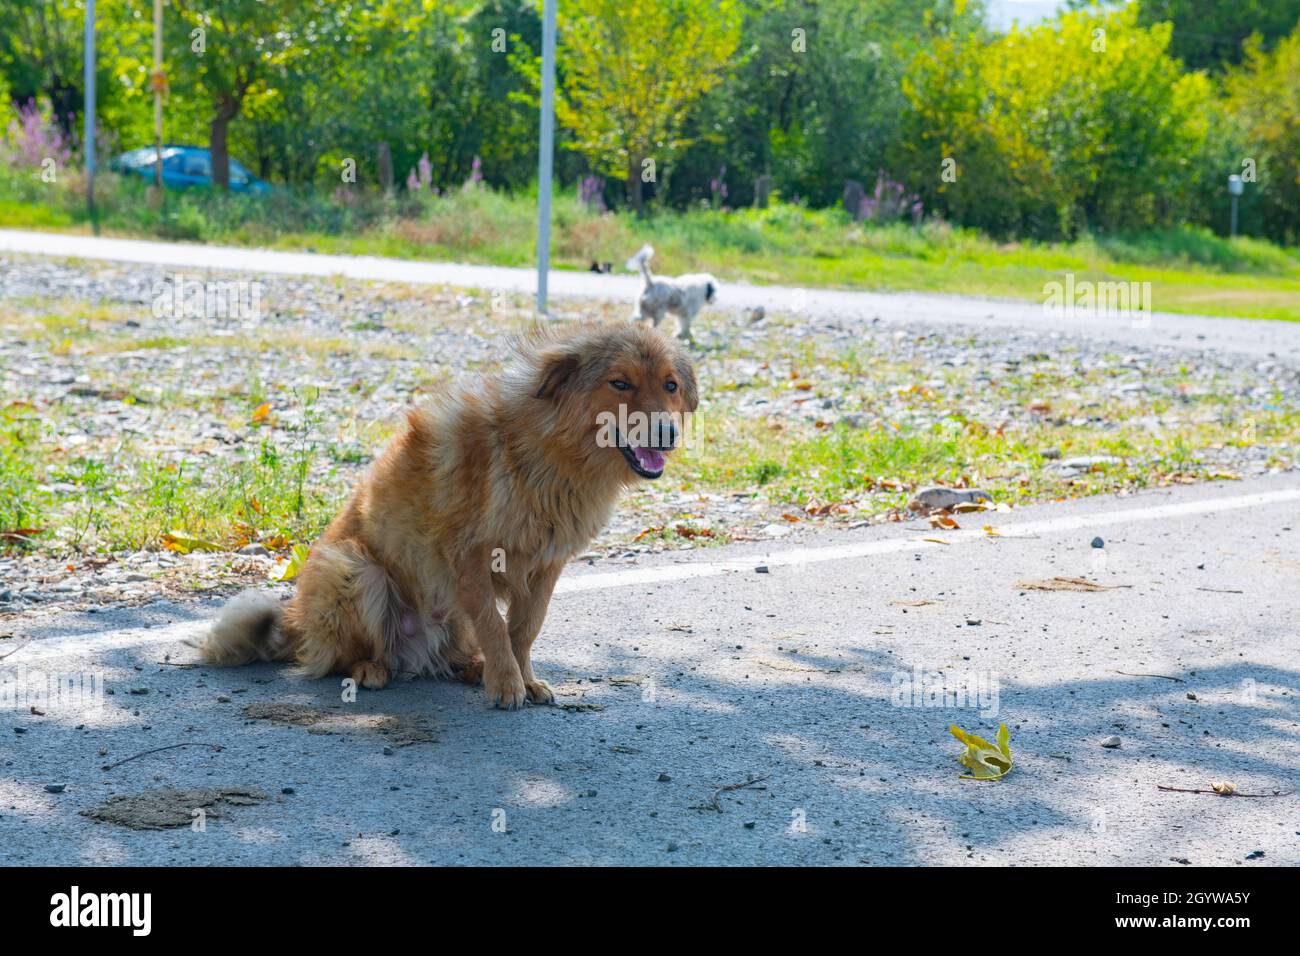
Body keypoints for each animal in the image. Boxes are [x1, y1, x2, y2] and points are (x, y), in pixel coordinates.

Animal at [193, 325, 696, 707]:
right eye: (620, 383)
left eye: (670, 385)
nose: (667, 433)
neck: (549, 453)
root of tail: (298, 624)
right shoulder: (470, 556)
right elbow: (495, 625)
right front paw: (508, 684)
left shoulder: (546, 565)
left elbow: (524, 629)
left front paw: (522, 676)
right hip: (354, 567)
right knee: (341, 655)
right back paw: (370, 668)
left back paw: (472, 667)